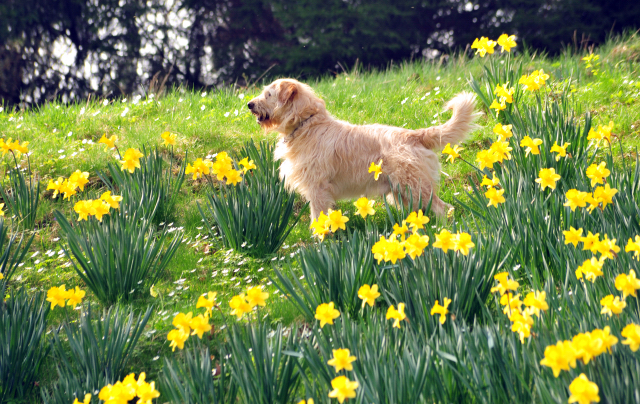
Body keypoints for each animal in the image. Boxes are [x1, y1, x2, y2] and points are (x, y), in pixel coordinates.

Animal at [248, 77, 478, 219]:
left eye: (268, 95)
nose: (249, 104)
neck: (307, 124)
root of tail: (413, 134)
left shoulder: (317, 189)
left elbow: (318, 218)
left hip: (416, 187)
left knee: (443, 208)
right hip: (403, 193)